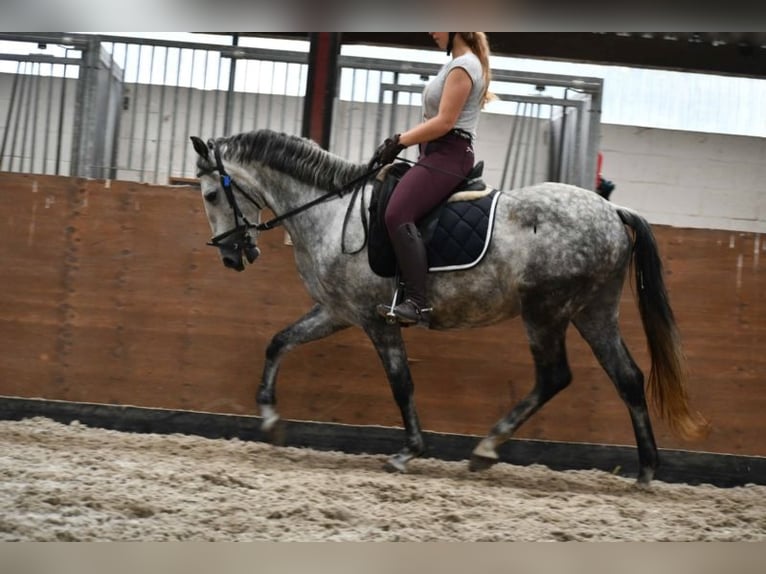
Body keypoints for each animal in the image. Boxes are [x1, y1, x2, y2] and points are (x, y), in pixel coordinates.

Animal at [190, 129, 708, 486]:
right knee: (628, 378)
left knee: (554, 376)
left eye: (212, 194)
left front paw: (408, 451)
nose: (232, 256)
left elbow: (401, 383)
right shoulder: (338, 311)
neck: (330, 212)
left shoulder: (376, 319)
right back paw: (645, 470)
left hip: (545, 312)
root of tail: (611, 211)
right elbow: (278, 342)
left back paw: (487, 448)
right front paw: (270, 419)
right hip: (593, 311)